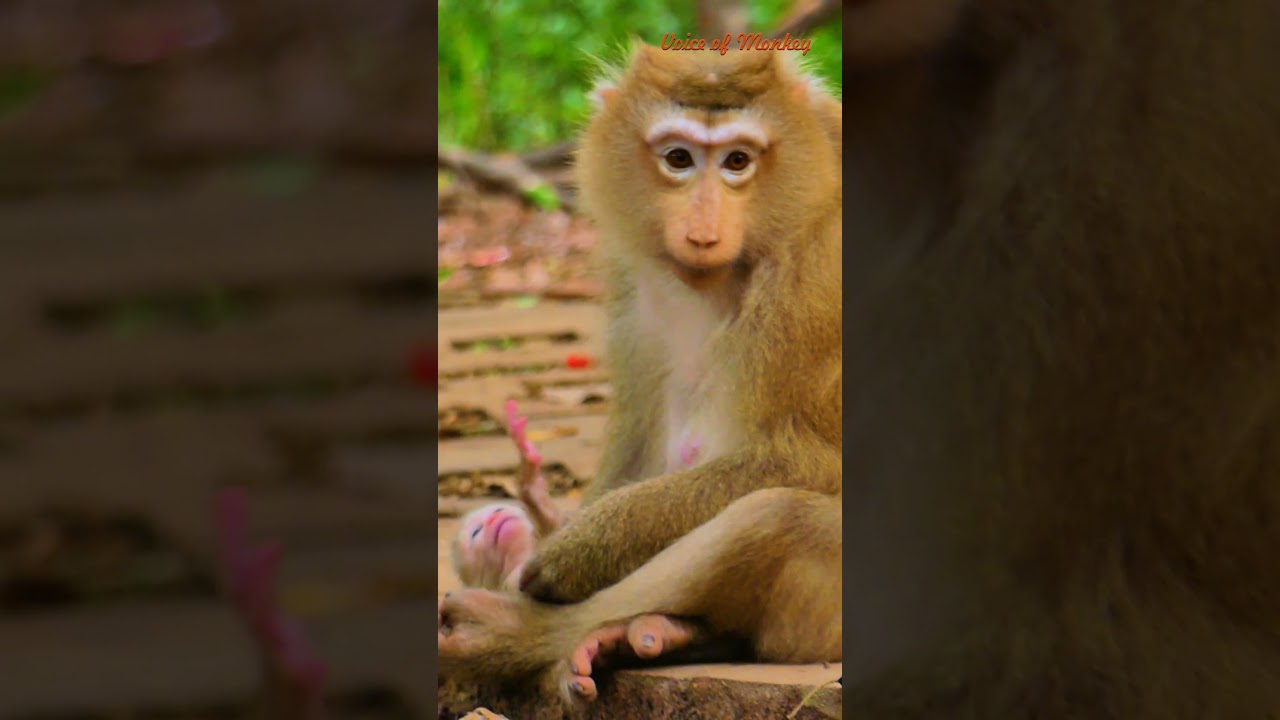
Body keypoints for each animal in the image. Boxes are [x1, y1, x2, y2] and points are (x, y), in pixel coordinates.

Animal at [439, 41, 843, 703]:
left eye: (737, 161)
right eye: (678, 158)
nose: (702, 229)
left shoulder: (815, 286)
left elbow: (813, 462)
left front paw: (574, 551)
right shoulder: (637, 296)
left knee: (774, 517)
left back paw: (518, 635)